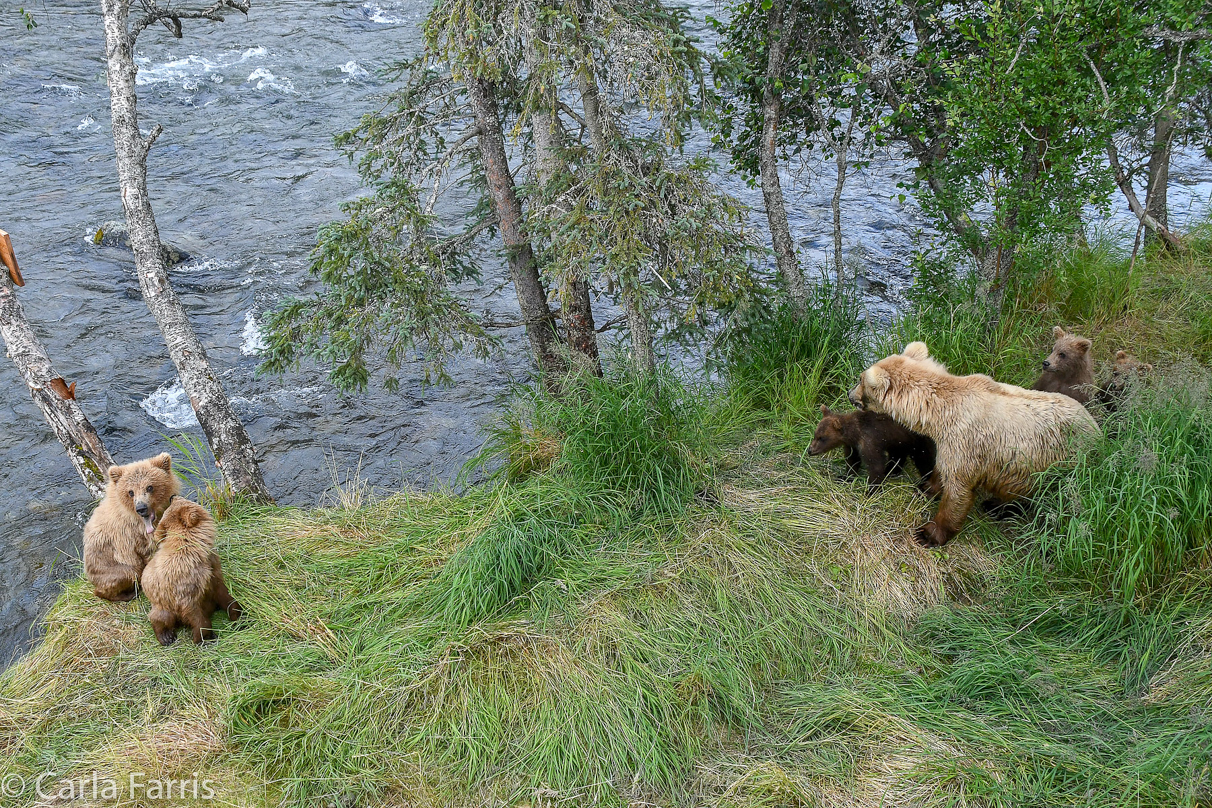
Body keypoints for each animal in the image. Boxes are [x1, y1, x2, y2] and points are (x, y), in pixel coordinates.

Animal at [83, 455, 179, 600]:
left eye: (149, 487)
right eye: (131, 492)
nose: (141, 508)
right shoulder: (132, 536)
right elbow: (149, 552)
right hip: (108, 568)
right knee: (127, 574)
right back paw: (129, 593)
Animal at [141, 496, 241, 649]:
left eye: (173, 501)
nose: (172, 497)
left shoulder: (212, 568)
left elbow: (224, 593)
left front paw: (238, 616)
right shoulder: (183, 583)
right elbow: (193, 611)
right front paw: (205, 637)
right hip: (162, 603)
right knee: (159, 616)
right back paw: (166, 636)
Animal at [853, 344, 1100, 547]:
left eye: (860, 379)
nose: (849, 394)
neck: (941, 413)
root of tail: (1097, 430)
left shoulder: (967, 442)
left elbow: (958, 491)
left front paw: (927, 534)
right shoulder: (950, 443)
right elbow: (941, 469)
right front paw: (925, 487)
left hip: (1061, 464)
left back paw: (999, 508)